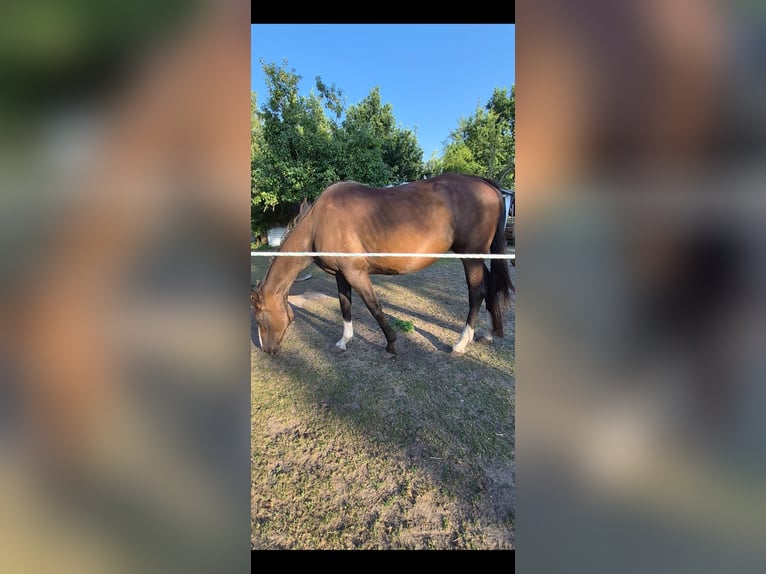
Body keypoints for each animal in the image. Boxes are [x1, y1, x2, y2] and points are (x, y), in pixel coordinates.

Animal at [250, 173, 514, 356]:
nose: (267, 350)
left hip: (470, 256)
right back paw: (489, 333)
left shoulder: (356, 274)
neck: (318, 223)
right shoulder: (340, 274)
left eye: (260, 319)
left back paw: (461, 343)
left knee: (476, 293)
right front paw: (344, 341)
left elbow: (374, 307)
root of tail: (486, 185)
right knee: (490, 286)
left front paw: (391, 344)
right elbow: (345, 305)